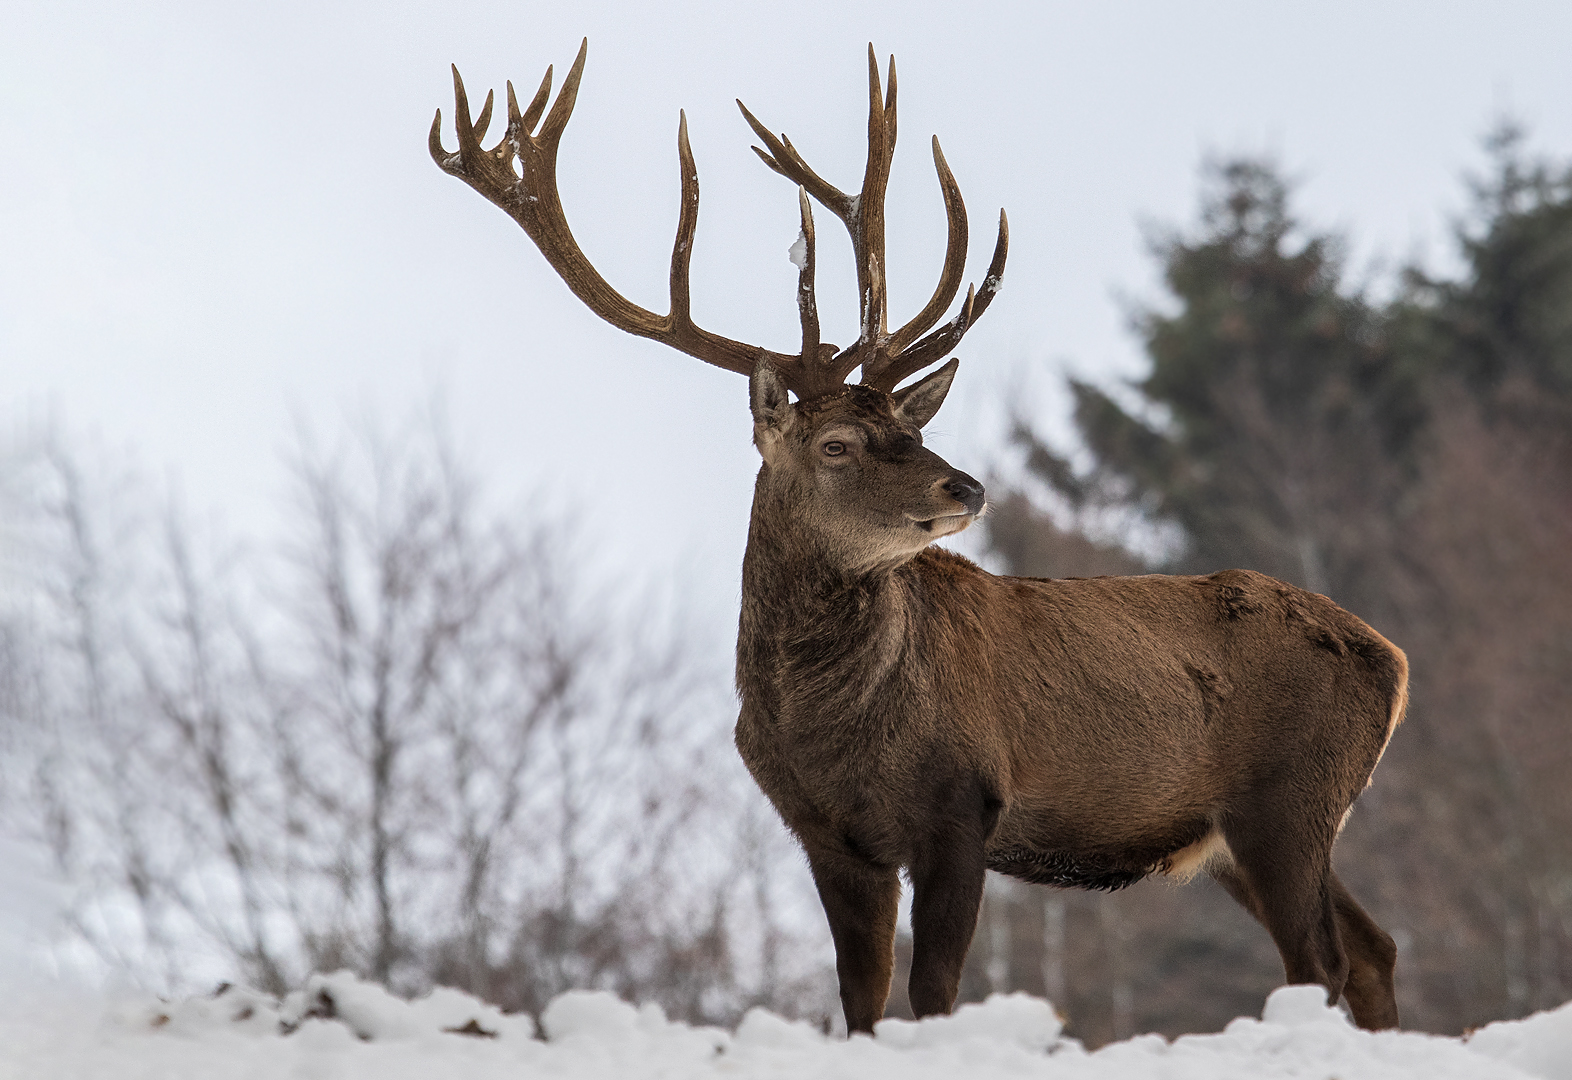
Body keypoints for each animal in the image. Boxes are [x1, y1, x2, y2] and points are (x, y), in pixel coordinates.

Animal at [427, 40, 1402, 1037]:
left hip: (1290, 797)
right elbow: (861, 1001)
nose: (966, 485)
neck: (833, 731)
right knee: (1371, 950)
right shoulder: (825, 833)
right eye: (836, 442)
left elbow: (932, 995)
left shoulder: (962, 803)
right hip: (1245, 834)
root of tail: (1391, 658)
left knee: (1322, 960)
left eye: (911, 422)